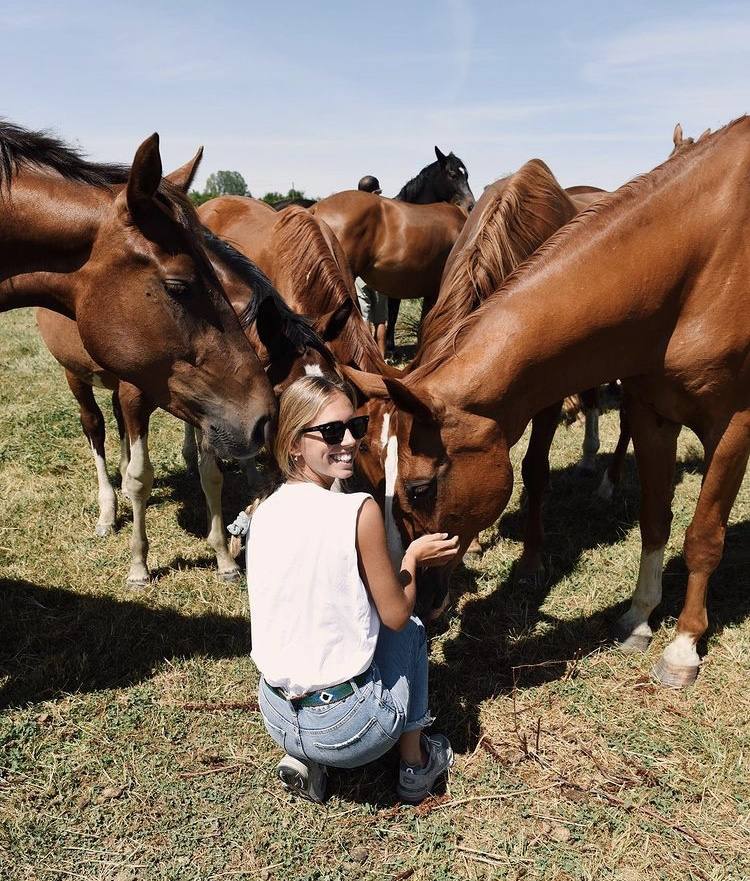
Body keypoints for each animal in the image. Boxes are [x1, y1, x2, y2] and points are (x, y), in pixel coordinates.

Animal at [348, 118, 750, 688]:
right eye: (361, 477)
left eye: (420, 489)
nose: (405, 601)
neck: (695, 252)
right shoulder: (649, 410)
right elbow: (655, 518)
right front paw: (638, 619)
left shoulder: (729, 424)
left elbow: (701, 535)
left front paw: (681, 646)